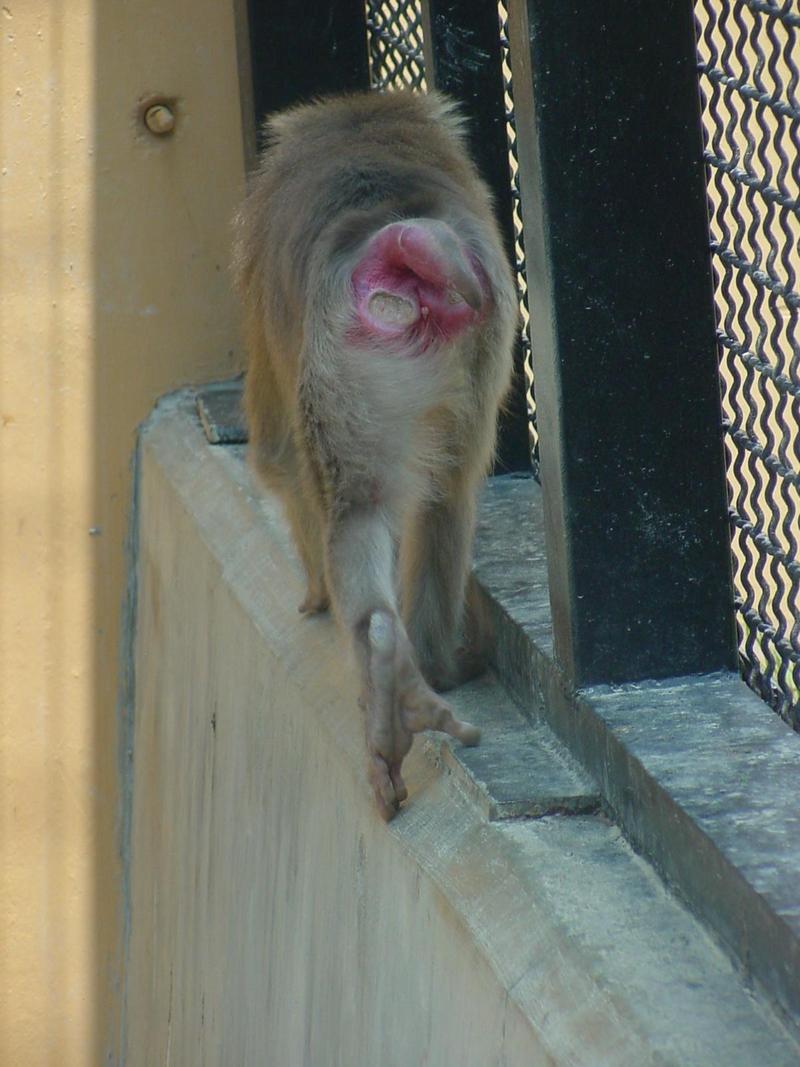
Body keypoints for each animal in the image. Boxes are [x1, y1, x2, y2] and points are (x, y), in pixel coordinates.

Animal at [231, 93, 520, 823]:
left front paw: (312, 596)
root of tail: (398, 240)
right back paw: (408, 662)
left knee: (386, 501)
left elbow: (277, 459)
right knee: (423, 499)